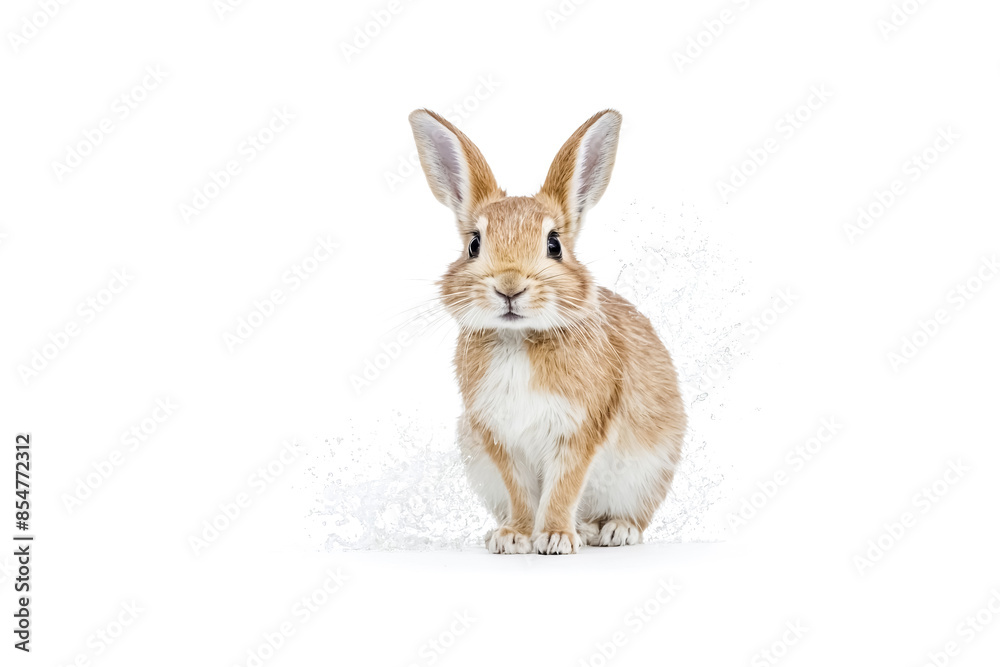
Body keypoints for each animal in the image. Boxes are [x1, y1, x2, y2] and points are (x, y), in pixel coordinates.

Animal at [409, 108, 686, 554]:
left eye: (554, 244)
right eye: (474, 244)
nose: (509, 286)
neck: (518, 338)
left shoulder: (579, 430)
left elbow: (563, 488)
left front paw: (555, 538)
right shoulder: (499, 440)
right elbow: (520, 492)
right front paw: (515, 537)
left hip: (650, 469)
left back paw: (612, 531)